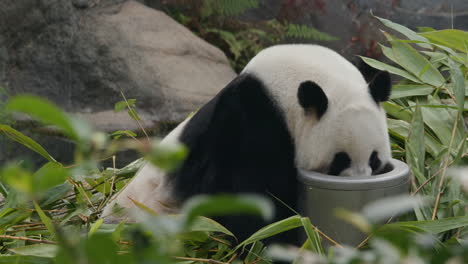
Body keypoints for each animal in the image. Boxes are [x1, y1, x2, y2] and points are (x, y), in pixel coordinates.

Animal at [101, 43, 392, 243]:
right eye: (339, 160)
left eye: (374, 158)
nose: (360, 182)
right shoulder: (250, 118)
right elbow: (243, 194)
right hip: (147, 215)